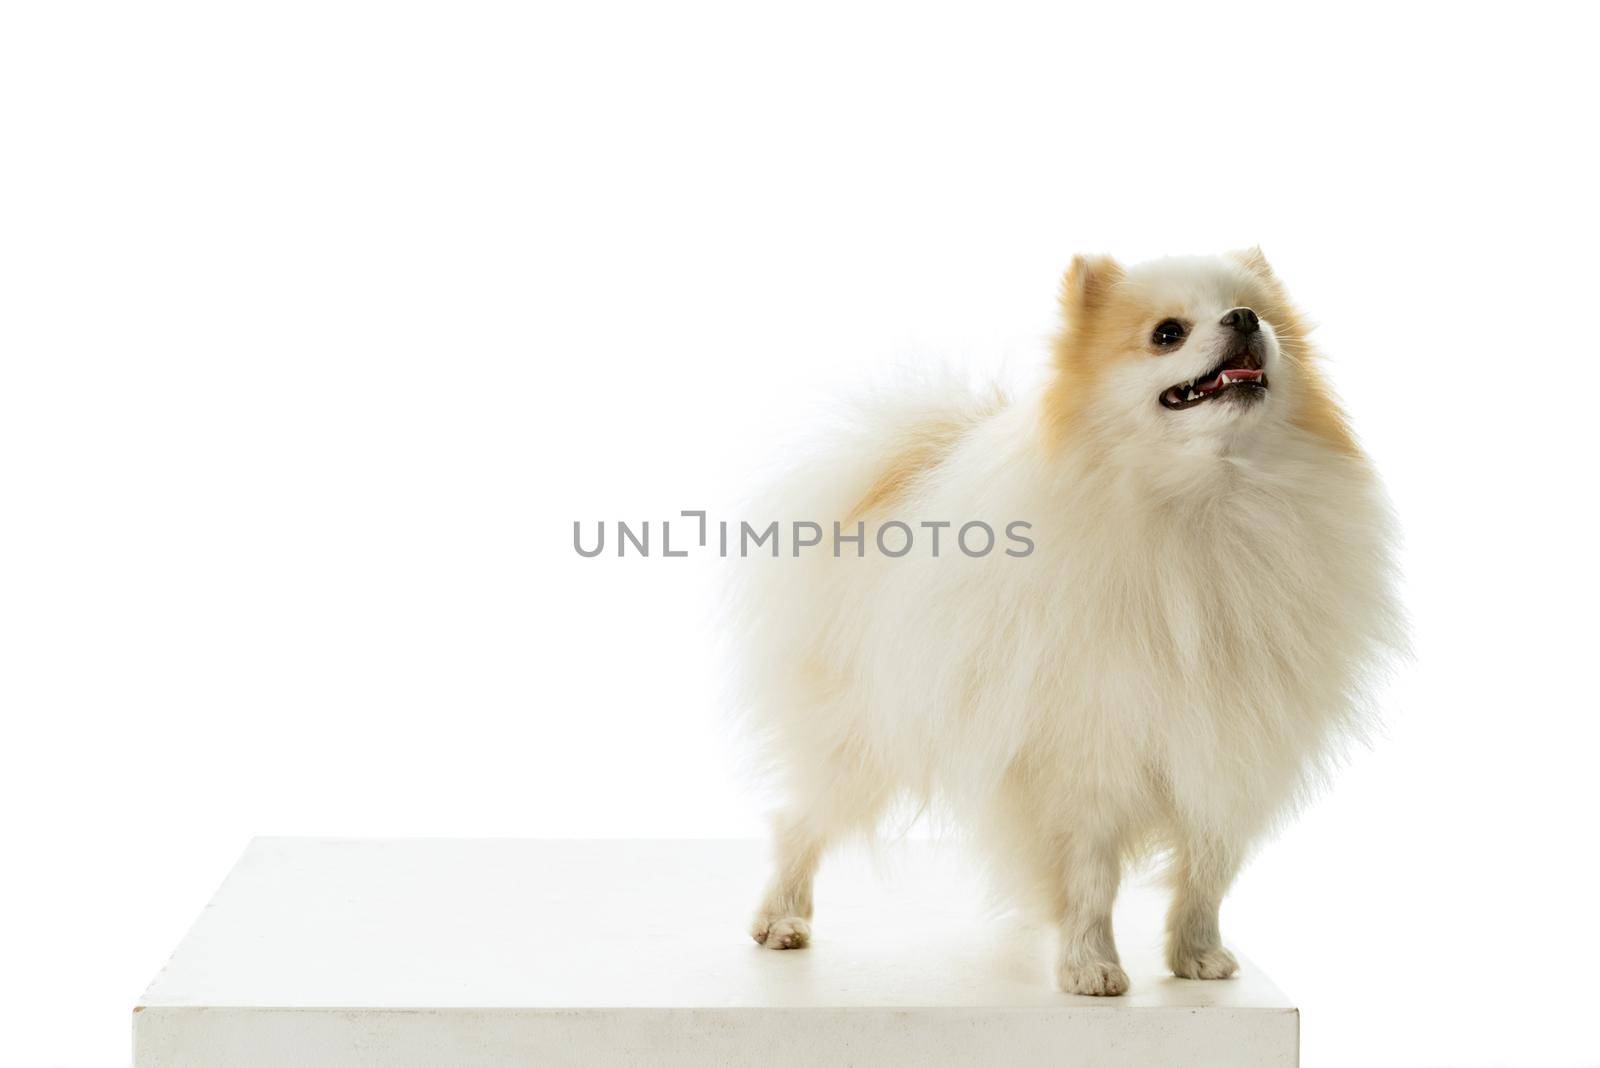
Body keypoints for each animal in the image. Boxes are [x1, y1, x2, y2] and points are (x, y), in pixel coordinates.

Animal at [732, 247, 1401, 991]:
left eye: (1262, 315)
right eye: (1167, 334)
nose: (1244, 318)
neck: (1208, 505)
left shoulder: (1232, 747)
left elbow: (1208, 868)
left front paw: (1197, 954)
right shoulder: (1089, 757)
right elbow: (1091, 877)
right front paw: (1090, 965)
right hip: (863, 739)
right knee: (798, 821)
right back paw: (780, 919)